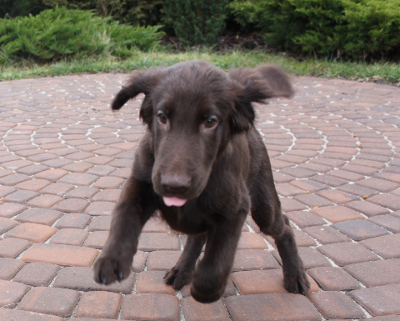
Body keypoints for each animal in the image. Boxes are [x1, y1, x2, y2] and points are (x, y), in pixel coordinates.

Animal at [94, 60, 310, 302]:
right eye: (162, 117)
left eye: (210, 122)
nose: (174, 186)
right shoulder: (141, 183)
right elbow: (124, 216)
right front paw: (112, 259)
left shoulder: (235, 209)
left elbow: (216, 265)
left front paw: (204, 288)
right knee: (197, 237)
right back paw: (182, 269)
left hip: (264, 206)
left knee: (285, 226)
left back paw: (295, 275)